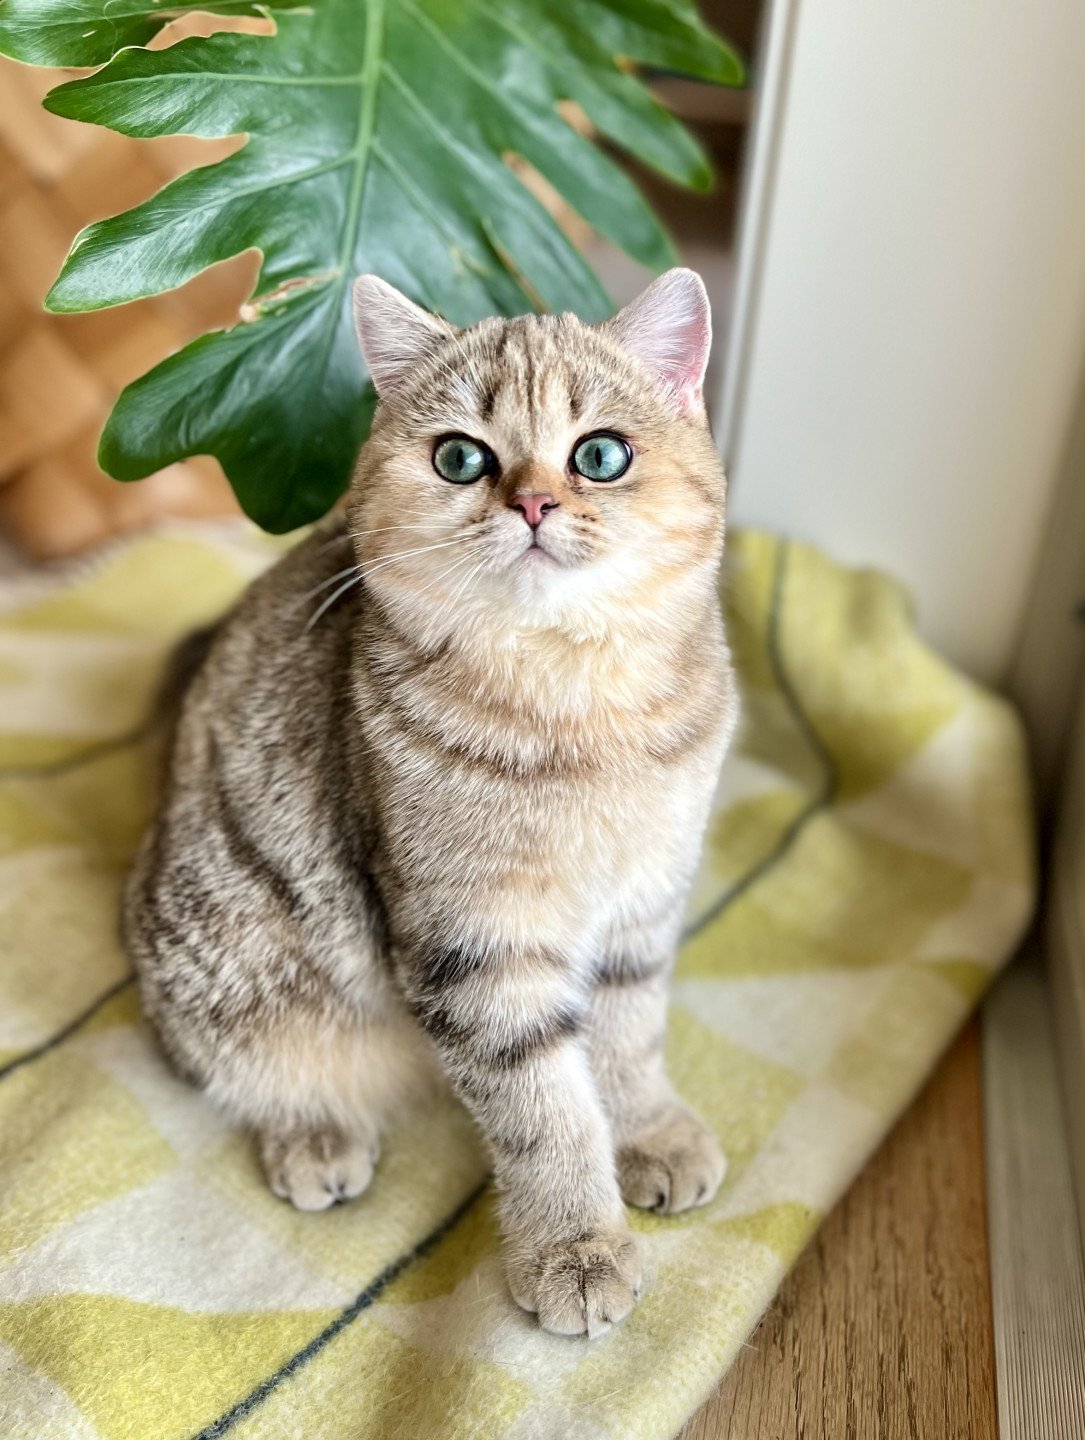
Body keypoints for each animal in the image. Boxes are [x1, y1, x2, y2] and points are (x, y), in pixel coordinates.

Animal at [124, 270, 737, 1336]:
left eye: (600, 455)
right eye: (460, 458)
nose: (531, 500)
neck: (578, 705)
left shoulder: (643, 904)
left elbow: (627, 1043)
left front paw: (650, 1132)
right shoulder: (477, 947)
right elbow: (545, 1112)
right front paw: (575, 1247)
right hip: (235, 963)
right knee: (245, 1068)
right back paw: (315, 1135)